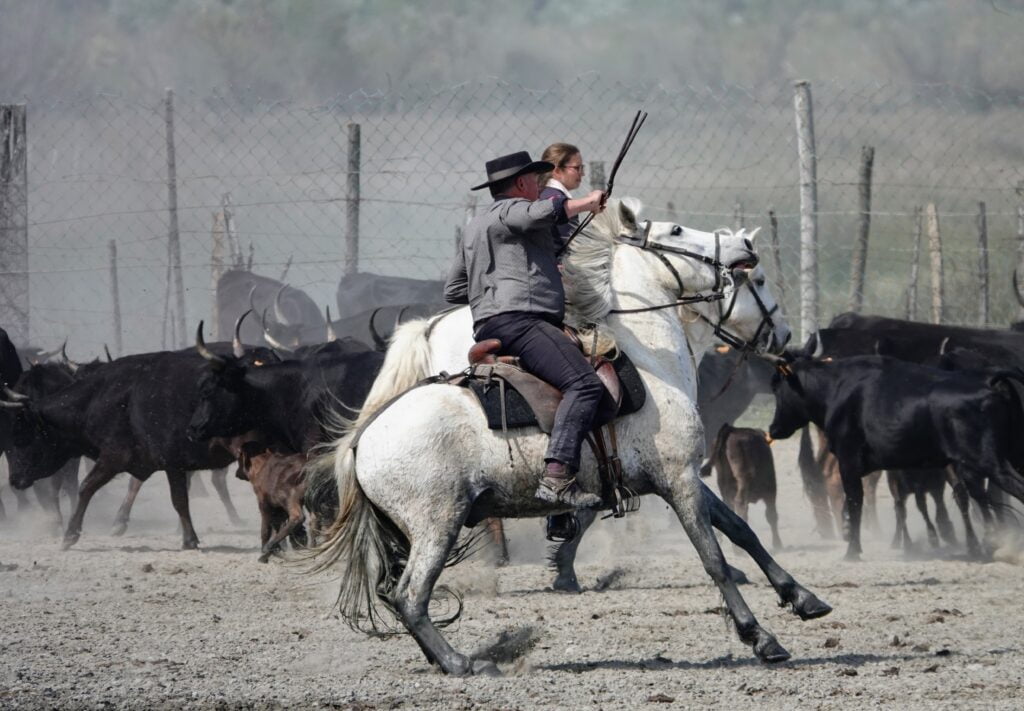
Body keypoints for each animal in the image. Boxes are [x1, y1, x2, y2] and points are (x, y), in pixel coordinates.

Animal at [700, 424, 778, 553]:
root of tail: (733, 429)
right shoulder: (771, 492)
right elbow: (772, 515)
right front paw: (778, 543)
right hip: (744, 477)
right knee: (741, 503)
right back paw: (739, 549)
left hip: (723, 480)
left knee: (727, 507)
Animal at [770, 356, 1024, 561]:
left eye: (778, 390)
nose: (773, 429)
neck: (834, 388)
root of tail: (988, 378)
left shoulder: (848, 460)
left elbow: (854, 500)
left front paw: (852, 550)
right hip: (1003, 456)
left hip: (990, 462)